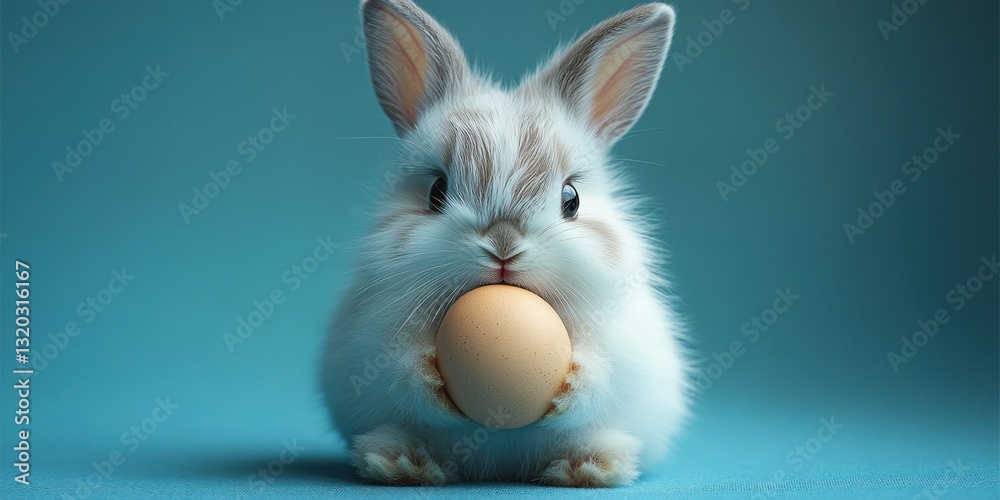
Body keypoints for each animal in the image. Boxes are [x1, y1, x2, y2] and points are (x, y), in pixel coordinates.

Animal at [320, 0, 692, 487]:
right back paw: (398, 462)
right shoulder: (372, 344)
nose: (503, 246)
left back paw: (591, 467)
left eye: (571, 199)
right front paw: (429, 375)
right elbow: (401, 369)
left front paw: (571, 380)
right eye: (436, 192)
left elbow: (599, 373)